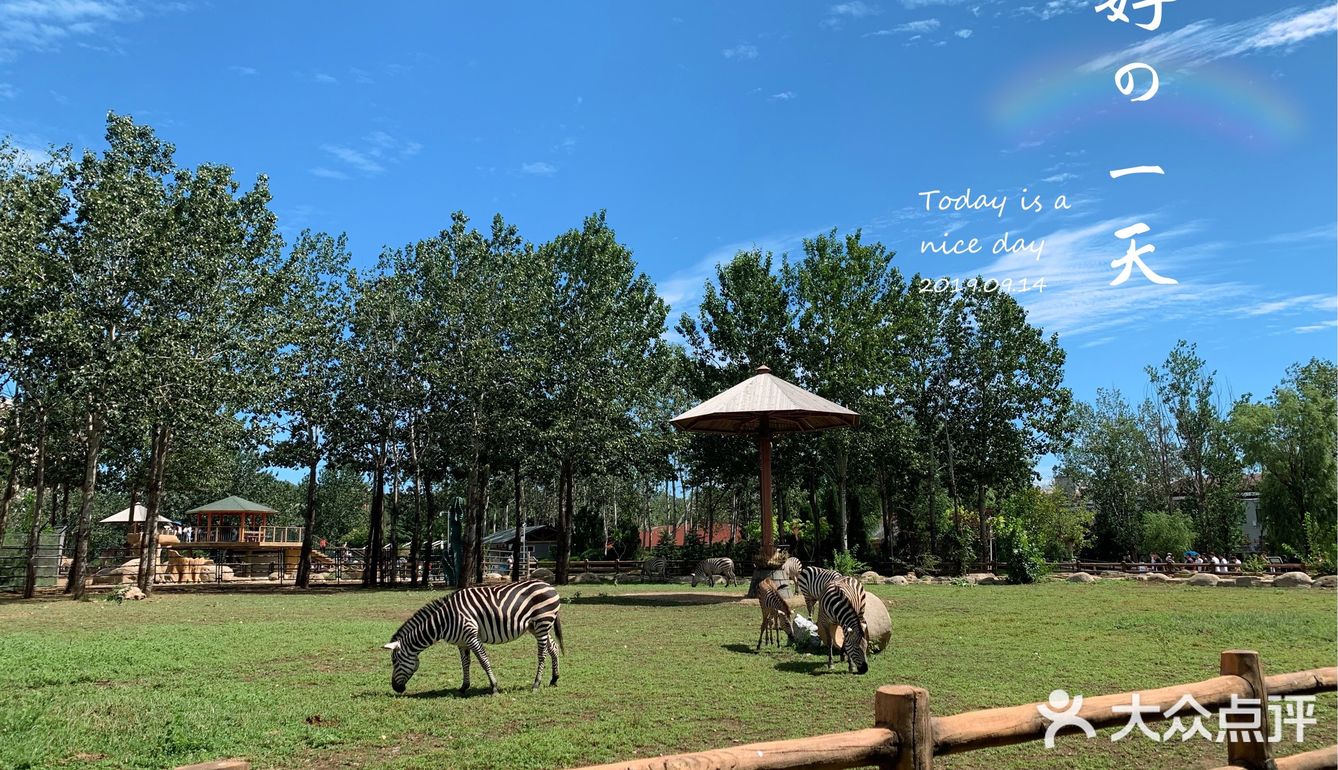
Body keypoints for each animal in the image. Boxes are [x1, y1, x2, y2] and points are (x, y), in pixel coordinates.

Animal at [382, 578, 564, 696]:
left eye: (394, 662)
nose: (396, 689)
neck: (444, 620)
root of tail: (549, 585)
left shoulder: (471, 636)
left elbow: (483, 661)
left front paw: (494, 687)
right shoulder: (462, 642)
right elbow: (465, 663)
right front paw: (464, 687)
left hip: (542, 622)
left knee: (542, 654)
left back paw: (536, 684)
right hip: (536, 627)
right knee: (554, 648)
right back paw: (554, 679)